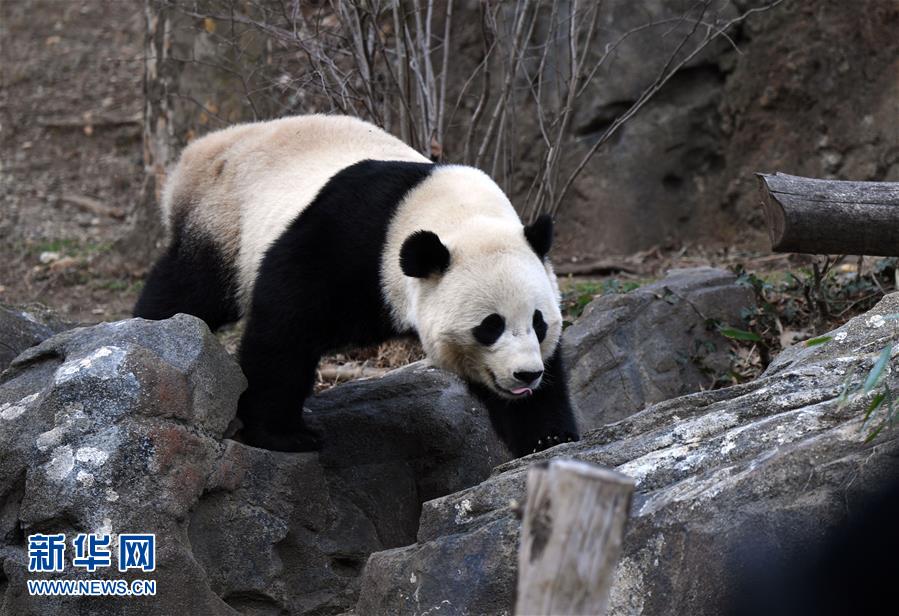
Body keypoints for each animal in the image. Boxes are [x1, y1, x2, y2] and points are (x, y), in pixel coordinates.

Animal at [137, 114, 580, 458]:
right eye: (490, 326)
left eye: (539, 323)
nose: (526, 375)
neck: (457, 214)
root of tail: (200, 151)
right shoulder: (348, 240)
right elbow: (285, 325)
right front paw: (284, 435)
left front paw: (548, 440)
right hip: (225, 219)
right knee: (192, 288)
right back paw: (153, 326)